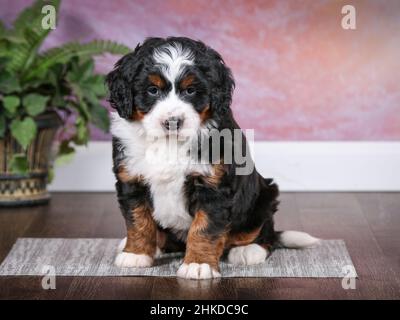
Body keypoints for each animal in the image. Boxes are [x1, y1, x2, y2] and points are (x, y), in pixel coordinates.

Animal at [106, 36, 318, 278]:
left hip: (264, 197)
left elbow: (204, 229)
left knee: (265, 233)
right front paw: (136, 254)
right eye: (152, 90)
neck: (170, 142)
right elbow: (138, 220)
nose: (173, 121)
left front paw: (198, 264)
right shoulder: (131, 179)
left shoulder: (213, 187)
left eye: (190, 91)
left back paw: (248, 250)